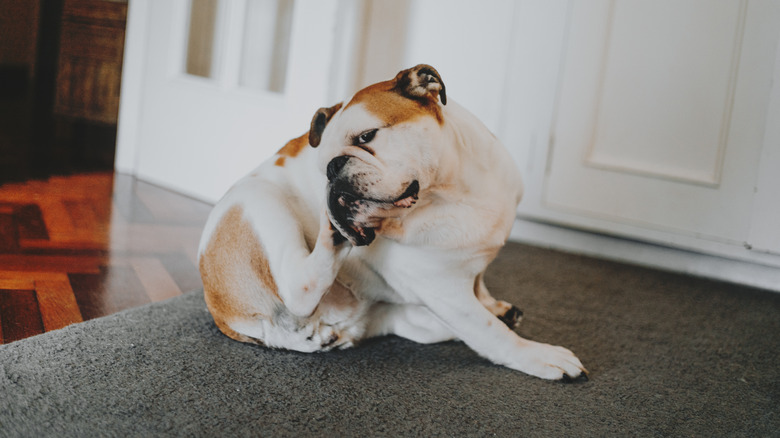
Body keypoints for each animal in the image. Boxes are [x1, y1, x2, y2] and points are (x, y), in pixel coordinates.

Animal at [198, 64, 588, 380]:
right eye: (322, 164)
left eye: (366, 136)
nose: (332, 170)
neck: (449, 191)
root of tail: (222, 313)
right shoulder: (444, 290)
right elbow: (490, 331)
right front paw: (538, 356)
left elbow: (480, 286)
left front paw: (493, 304)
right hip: (260, 203)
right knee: (299, 287)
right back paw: (332, 231)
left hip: (390, 317)